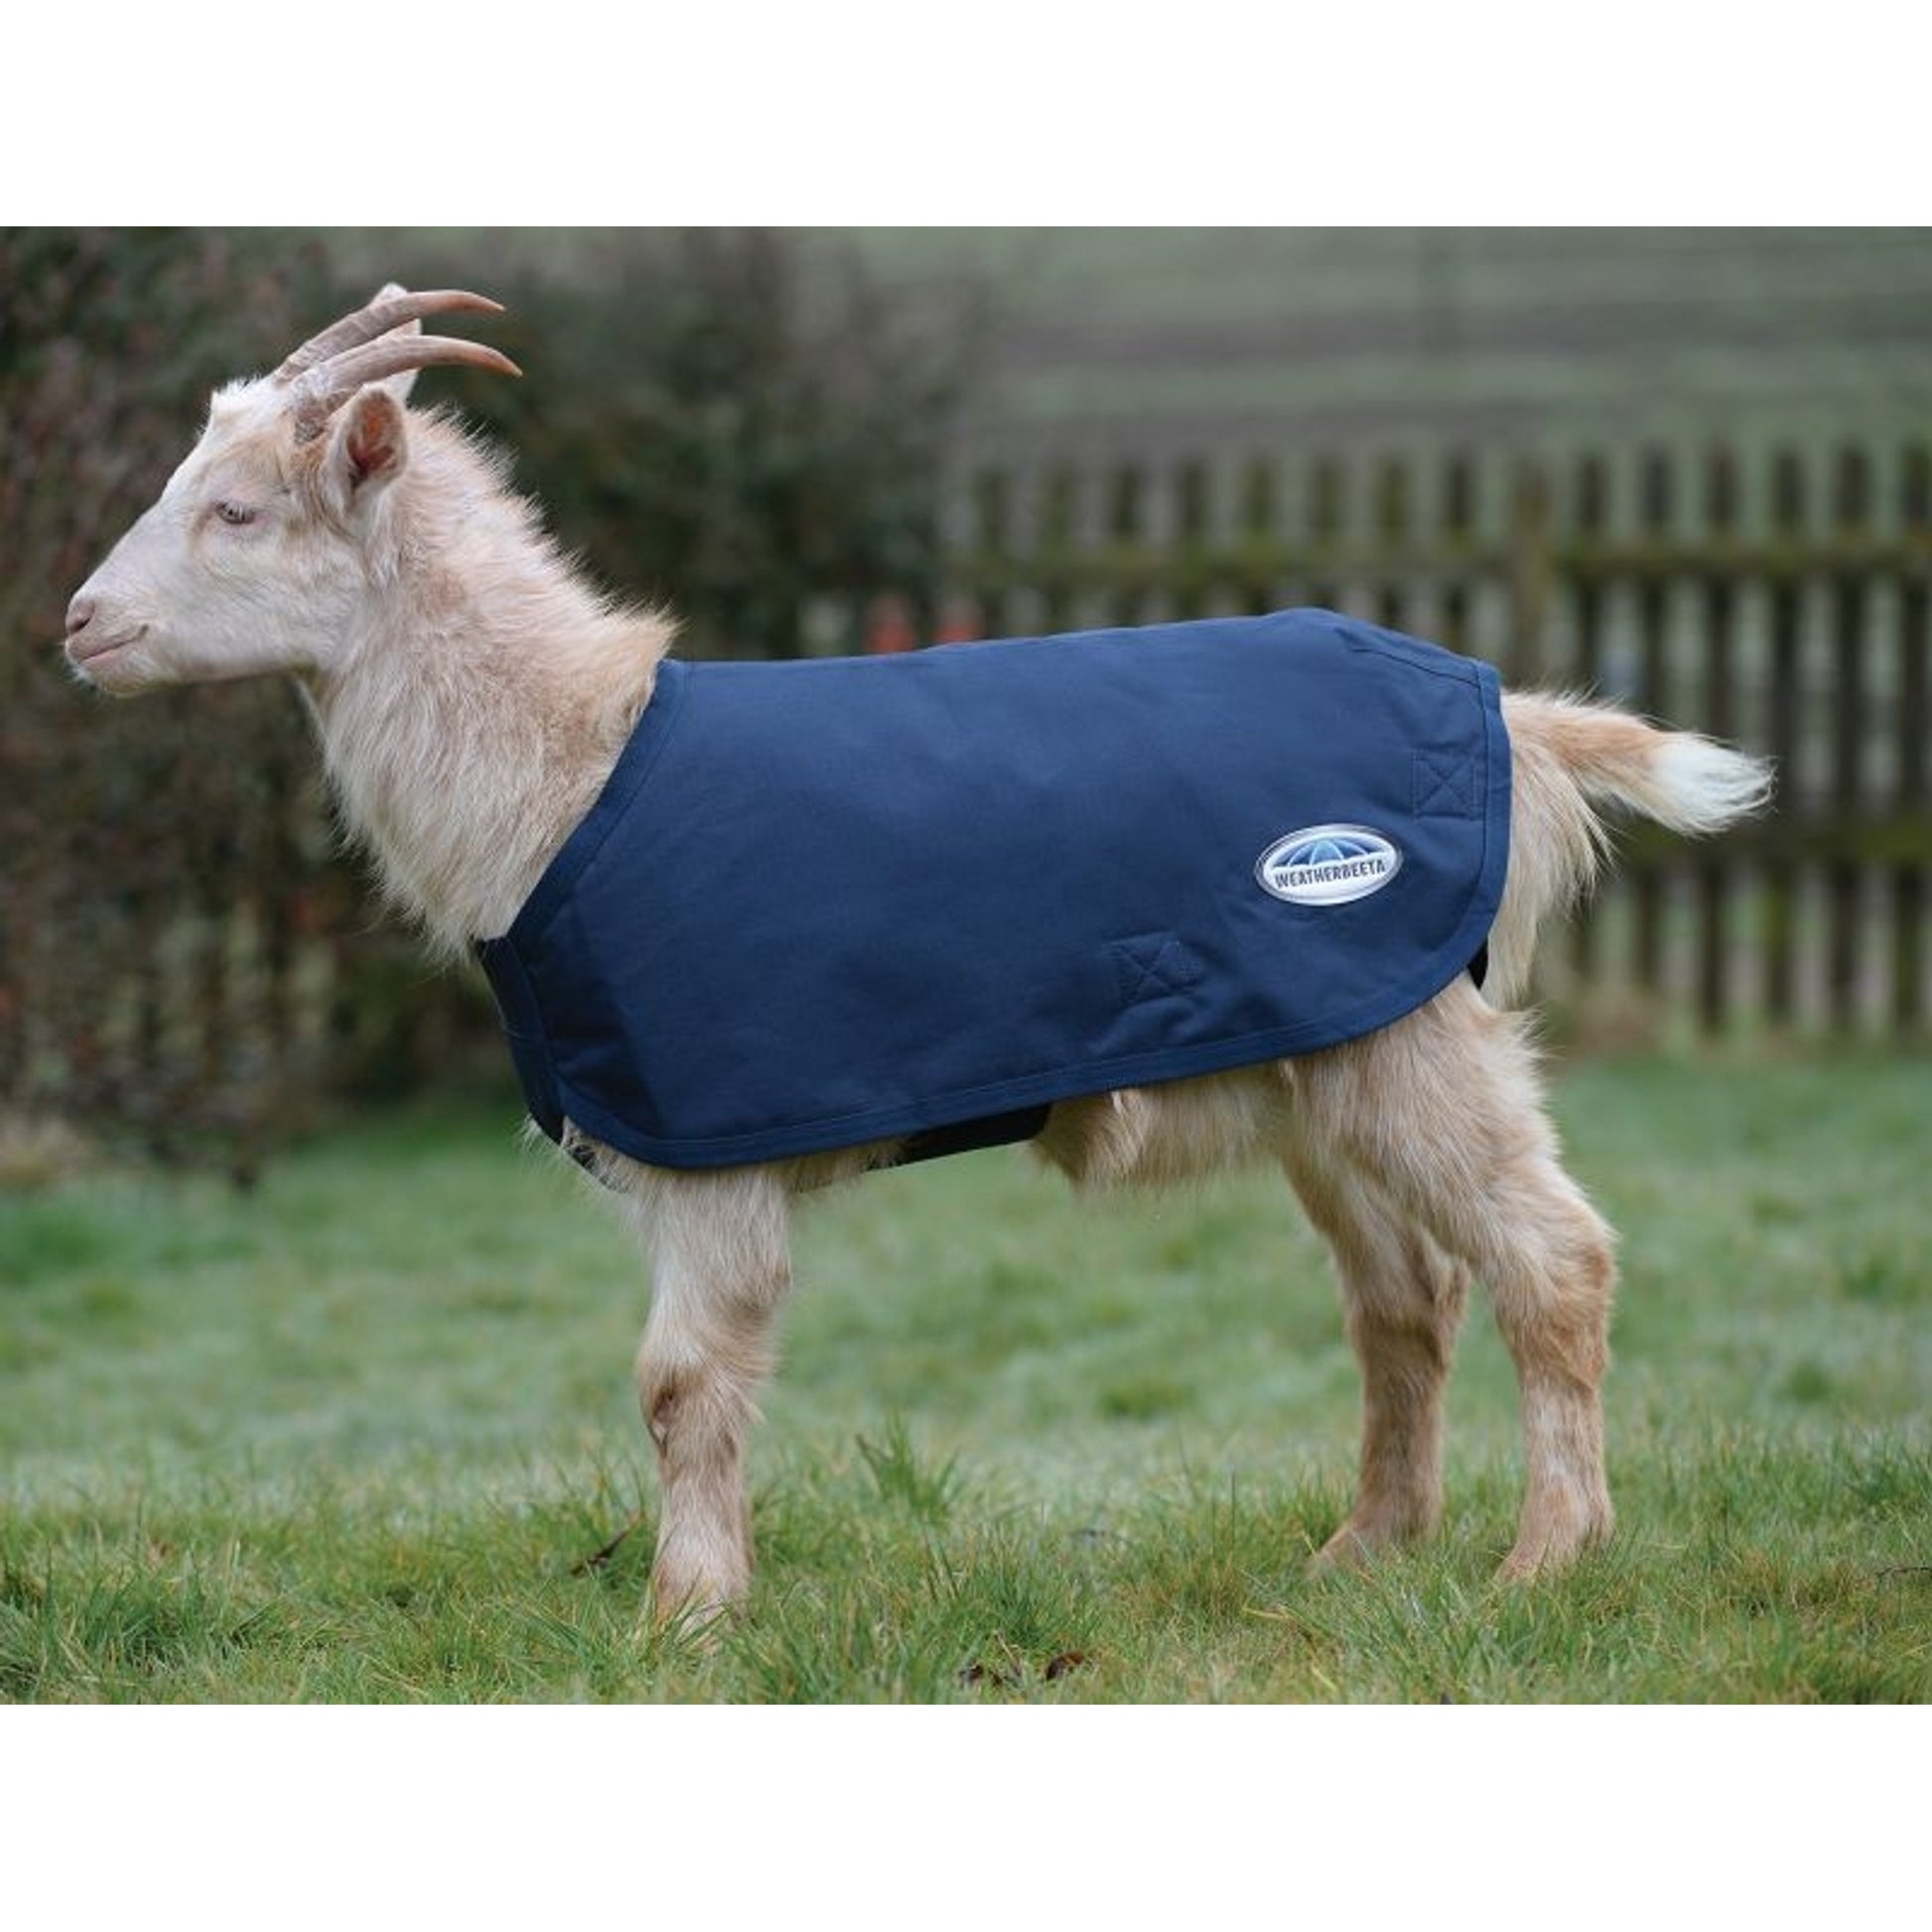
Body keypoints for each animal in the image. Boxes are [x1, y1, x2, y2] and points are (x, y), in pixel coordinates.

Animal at [65, 286, 1773, 1621]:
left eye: (235, 510)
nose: (81, 626)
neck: (570, 771)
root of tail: (1507, 714)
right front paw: (702, 1603)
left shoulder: (711, 1143)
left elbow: (679, 1383)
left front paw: (682, 1621)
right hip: (1324, 1048)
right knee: (1404, 1297)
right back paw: (1360, 1554)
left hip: (1410, 1039)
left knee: (1551, 1260)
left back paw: (1544, 1559)